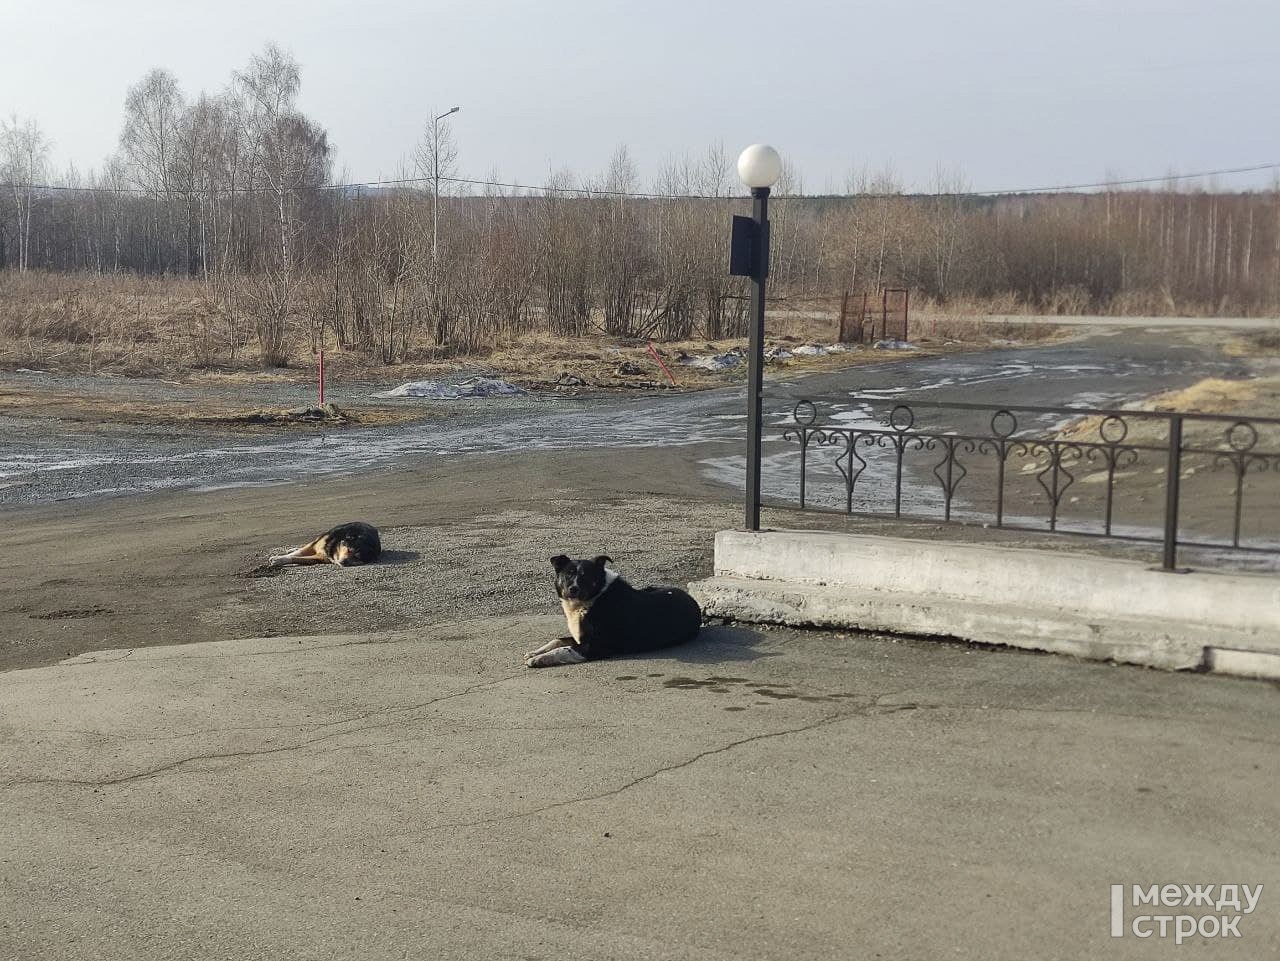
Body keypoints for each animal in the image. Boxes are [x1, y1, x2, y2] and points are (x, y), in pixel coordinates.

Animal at [524, 555, 706, 670]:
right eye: (568, 575)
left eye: (585, 576)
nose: (573, 589)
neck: (594, 597)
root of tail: (692, 599)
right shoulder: (580, 637)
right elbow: (558, 640)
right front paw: (536, 652)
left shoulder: (595, 646)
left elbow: (564, 648)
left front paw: (538, 659)